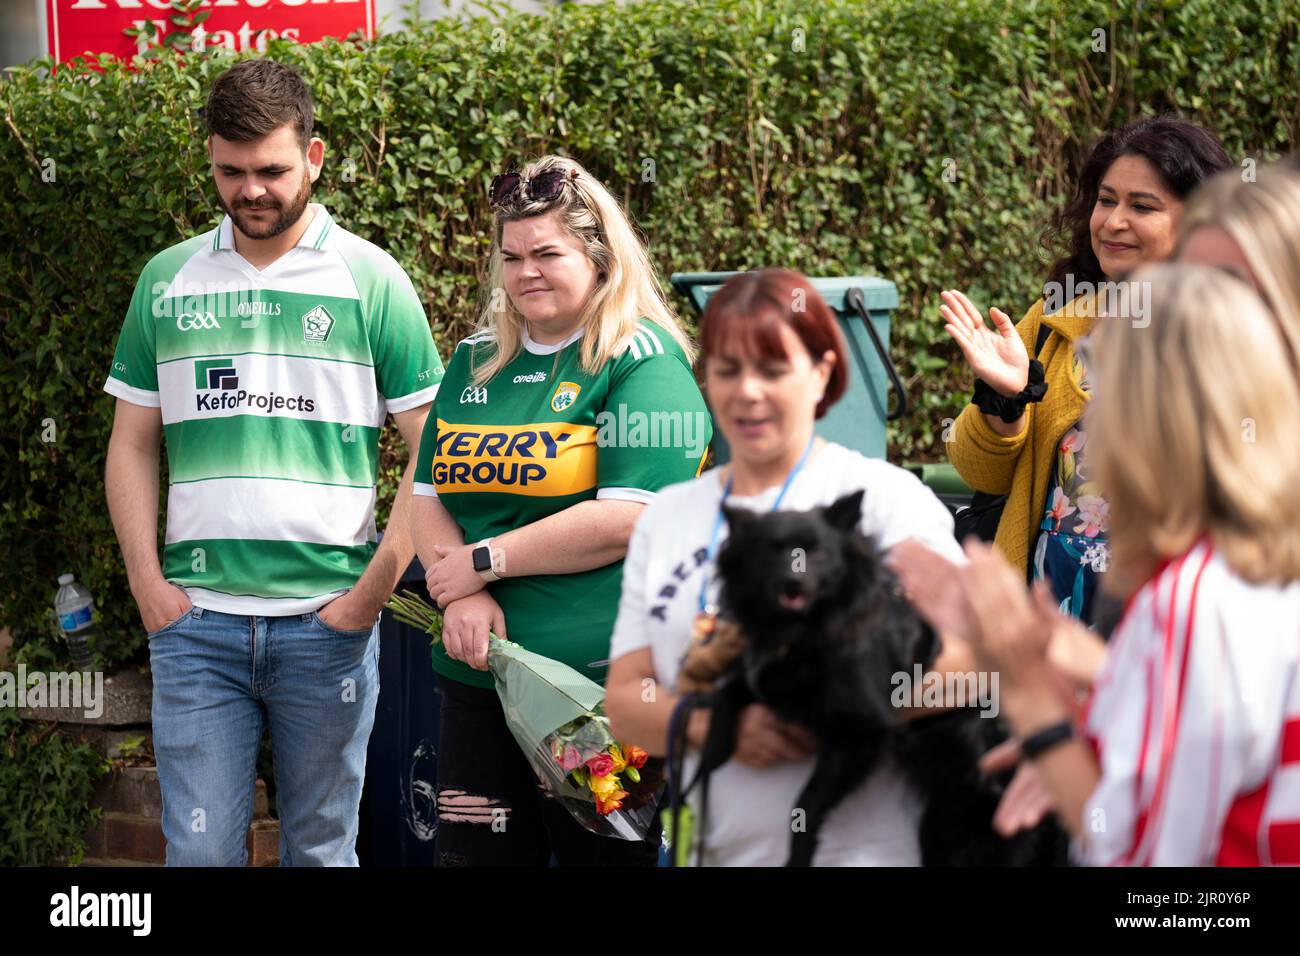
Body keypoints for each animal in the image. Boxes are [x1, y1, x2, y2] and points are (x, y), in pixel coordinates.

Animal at [702, 489, 1066, 868]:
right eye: (770, 551)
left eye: (818, 552)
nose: (793, 582)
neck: (810, 627)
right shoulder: (776, 678)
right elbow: (731, 689)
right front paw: (714, 747)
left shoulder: (861, 732)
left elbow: (807, 802)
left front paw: (799, 853)